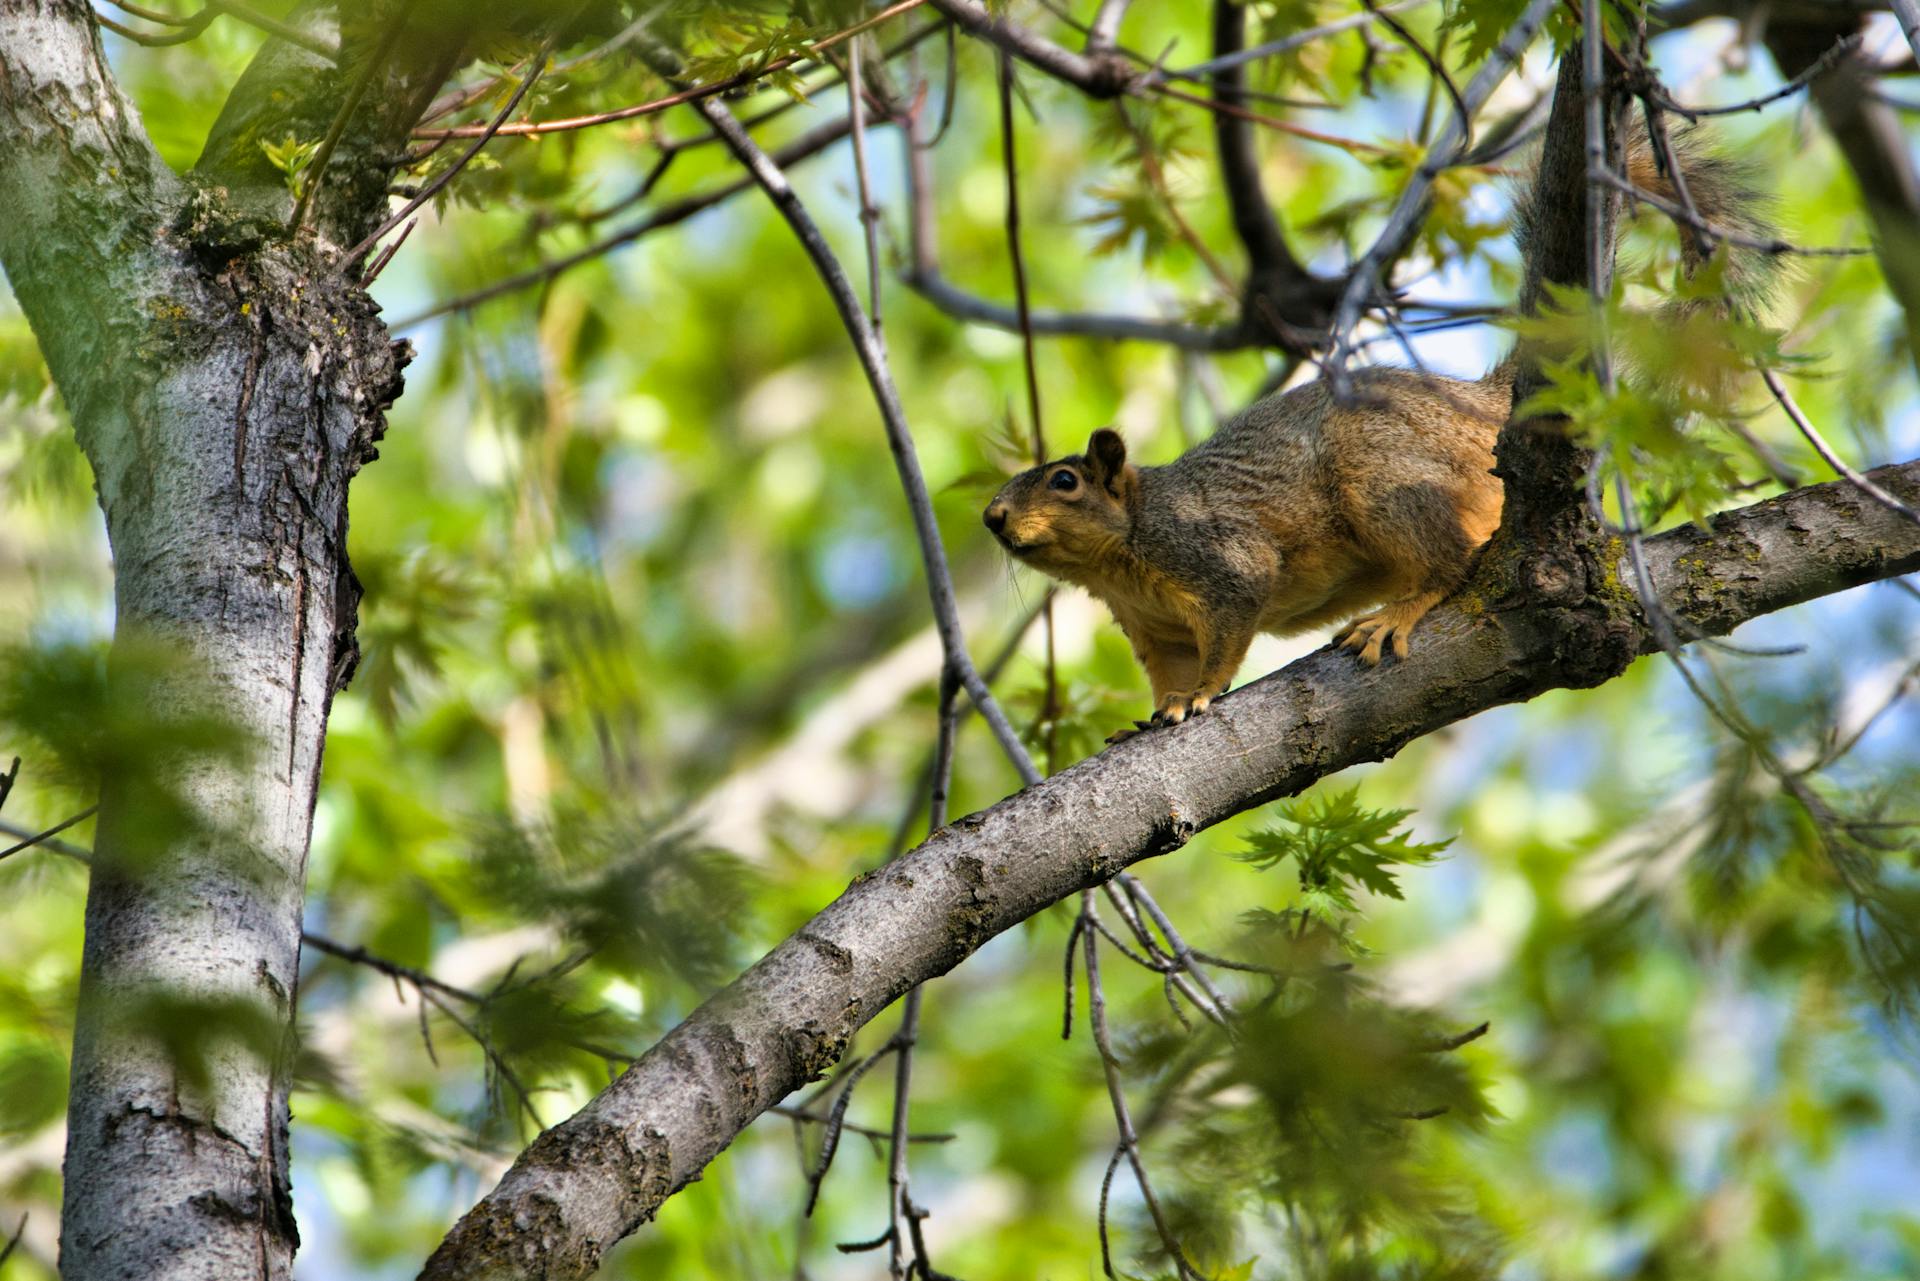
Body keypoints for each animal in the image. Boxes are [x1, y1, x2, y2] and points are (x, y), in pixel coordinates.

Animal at [983, 127, 1774, 741]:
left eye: (1064, 480)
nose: (992, 518)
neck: (1120, 556)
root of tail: (1478, 405)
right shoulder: (1153, 632)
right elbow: (1169, 673)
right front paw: (1164, 708)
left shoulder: (1218, 558)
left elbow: (1229, 634)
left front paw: (1203, 694)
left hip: (1383, 476)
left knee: (1452, 561)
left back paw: (1398, 612)